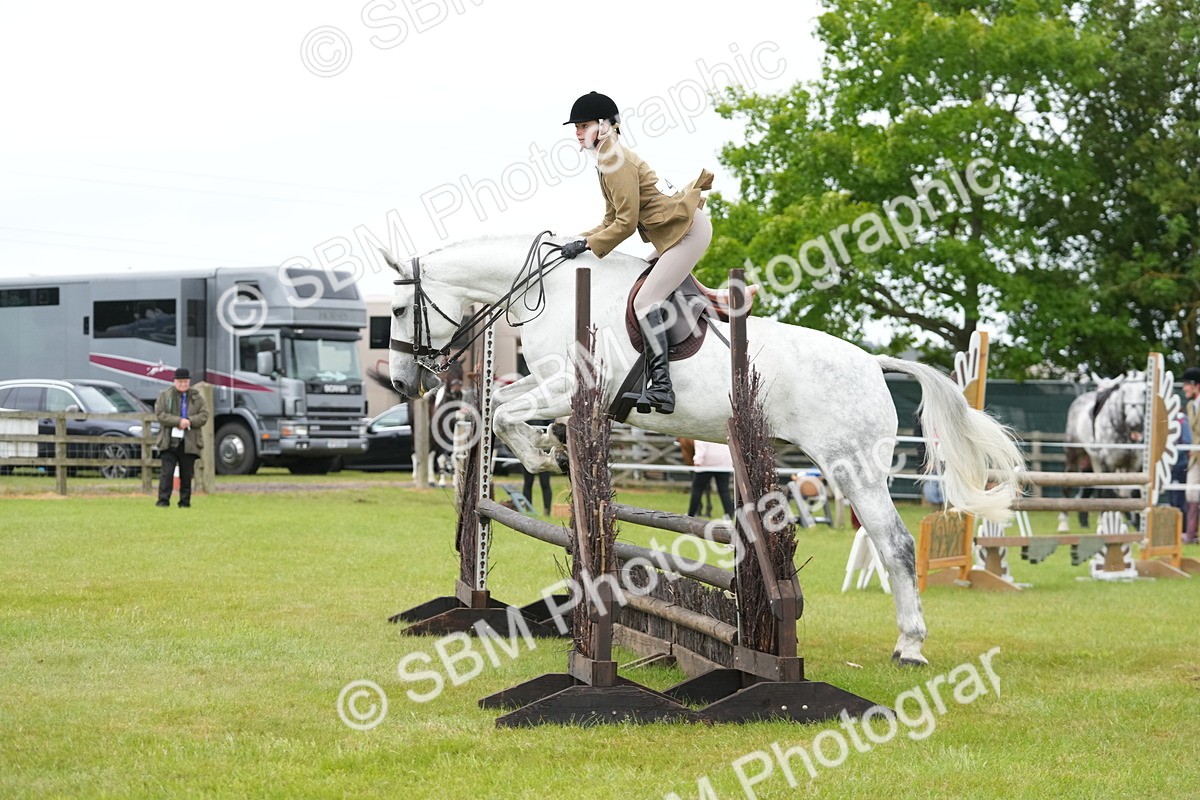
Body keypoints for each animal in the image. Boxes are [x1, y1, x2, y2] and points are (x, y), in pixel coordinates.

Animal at [385, 235, 1023, 666]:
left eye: (395, 310)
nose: (401, 384)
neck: (558, 294)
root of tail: (872, 362)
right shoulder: (549, 384)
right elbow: (497, 405)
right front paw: (551, 449)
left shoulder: (572, 385)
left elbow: (502, 410)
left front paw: (546, 453)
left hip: (854, 467)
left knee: (895, 544)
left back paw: (909, 646)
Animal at [1058, 373, 1148, 531]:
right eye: (1124, 392)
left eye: (1144, 391)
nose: (1134, 424)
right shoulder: (1108, 463)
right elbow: (1107, 493)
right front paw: (1107, 523)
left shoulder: (1134, 465)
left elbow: (1133, 493)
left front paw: (1137, 524)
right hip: (1073, 454)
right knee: (1069, 480)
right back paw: (1064, 523)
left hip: (1092, 460)